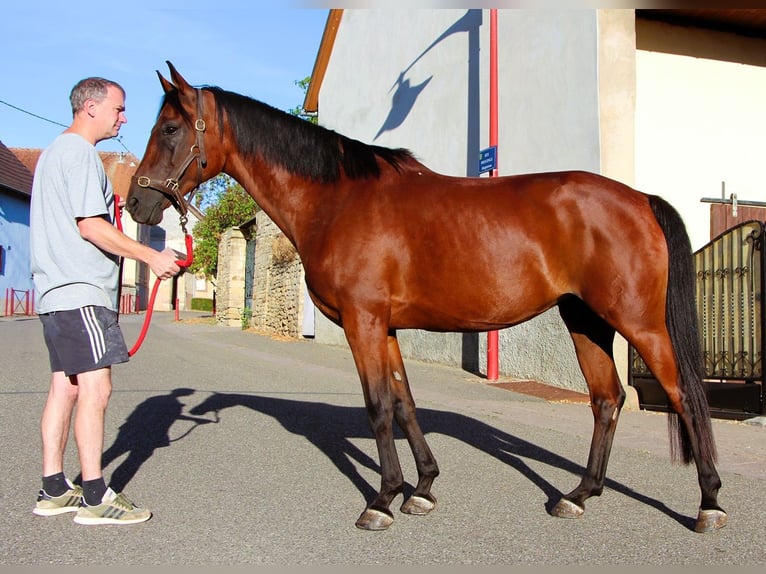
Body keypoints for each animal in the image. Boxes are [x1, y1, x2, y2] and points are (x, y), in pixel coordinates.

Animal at [126, 61, 726, 533]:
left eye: (172, 127)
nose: (136, 203)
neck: (337, 200)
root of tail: (640, 198)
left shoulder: (363, 322)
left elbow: (376, 406)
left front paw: (381, 501)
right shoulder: (385, 326)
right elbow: (403, 402)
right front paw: (421, 489)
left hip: (638, 322)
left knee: (684, 396)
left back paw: (709, 504)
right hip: (585, 320)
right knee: (607, 399)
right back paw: (578, 496)